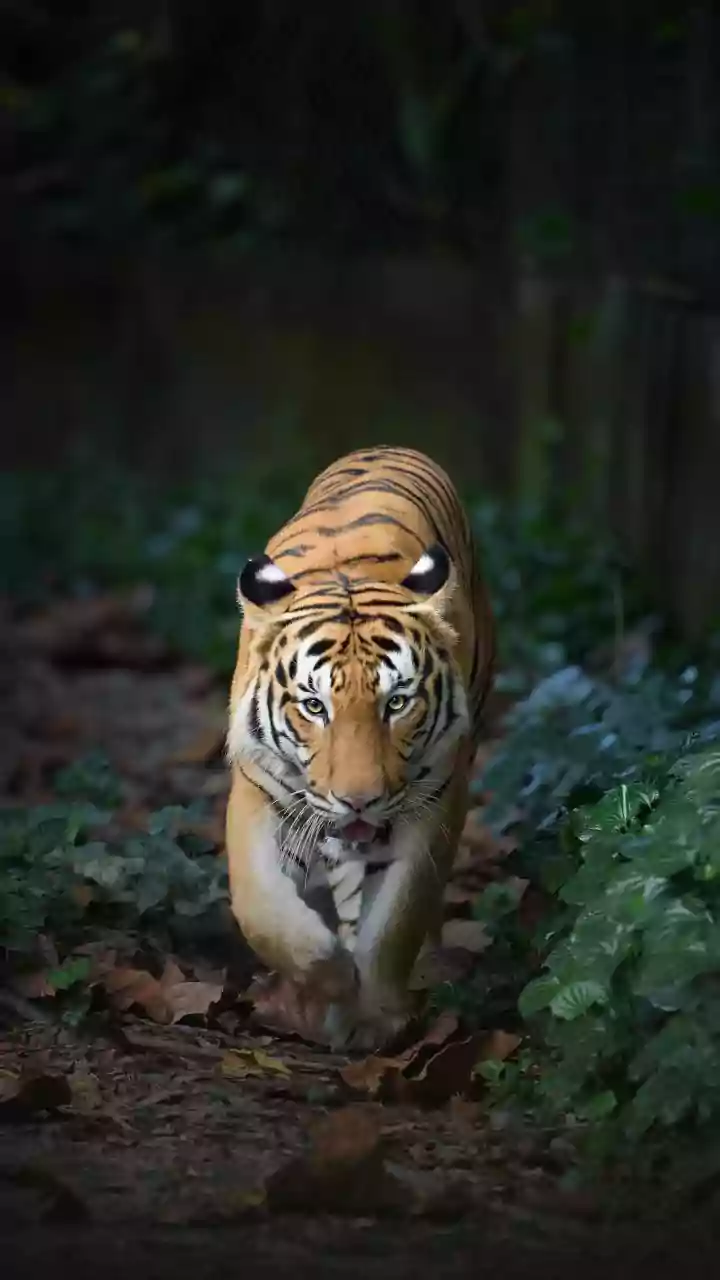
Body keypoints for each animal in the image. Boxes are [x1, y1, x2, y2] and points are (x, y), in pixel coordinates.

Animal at [225, 445, 495, 1050]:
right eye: (314, 706)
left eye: (396, 703)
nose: (358, 800)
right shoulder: (257, 789)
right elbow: (263, 910)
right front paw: (327, 984)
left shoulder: (435, 800)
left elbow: (396, 920)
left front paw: (380, 1015)